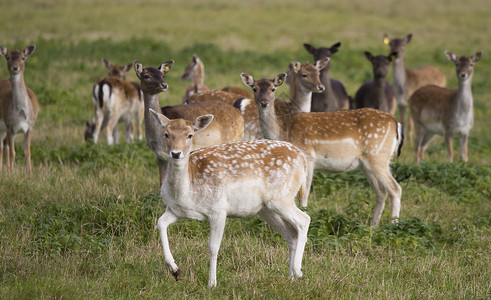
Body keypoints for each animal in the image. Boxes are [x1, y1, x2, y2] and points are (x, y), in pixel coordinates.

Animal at [0, 44, 38, 176]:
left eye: (23, 57)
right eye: (7, 57)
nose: (15, 67)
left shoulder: (30, 126)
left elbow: (28, 152)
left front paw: (30, 175)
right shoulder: (10, 126)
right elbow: (13, 153)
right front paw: (11, 174)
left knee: (4, 146)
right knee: (2, 147)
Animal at [149, 108, 312, 288]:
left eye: (190, 135)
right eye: (166, 134)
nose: (176, 153)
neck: (187, 190)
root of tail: (302, 159)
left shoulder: (218, 209)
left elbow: (213, 247)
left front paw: (212, 283)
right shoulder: (176, 210)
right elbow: (160, 223)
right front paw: (175, 270)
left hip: (281, 197)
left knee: (304, 219)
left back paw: (298, 271)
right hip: (265, 208)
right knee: (291, 233)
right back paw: (291, 277)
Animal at [240, 72, 406, 225]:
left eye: (273, 88)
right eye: (254, 88)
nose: (264, 102)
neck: (283, 131)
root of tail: (395, 122)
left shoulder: (308, 156)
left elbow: (304, 194)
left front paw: (306, 213)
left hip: (378, 157)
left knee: (395, 188)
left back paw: (394, 224)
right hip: (366, 164)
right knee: (381, 192)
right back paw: (373, 225)